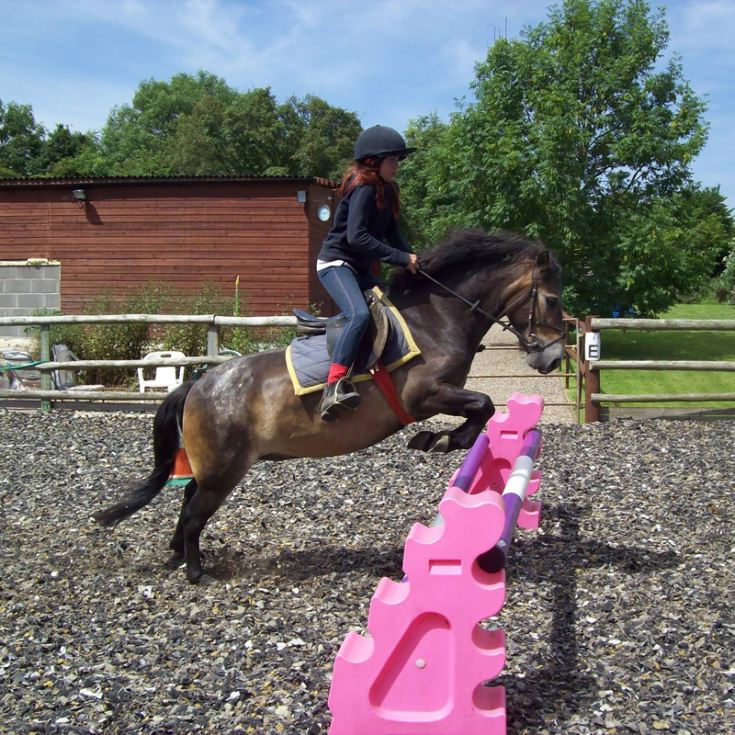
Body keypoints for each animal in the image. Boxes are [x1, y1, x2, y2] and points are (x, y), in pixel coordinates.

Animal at [94, 229, 564, 584]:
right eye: (554, 300)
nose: (554, 359)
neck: (435, 320)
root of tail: (197, 385)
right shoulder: (425, 395)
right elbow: (482, 405)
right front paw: (441, 440)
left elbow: (482, 410)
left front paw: (440, 439)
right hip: (223, 469)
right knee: (193, 511)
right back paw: (195, 571)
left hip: (213, 467)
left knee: (188, 497)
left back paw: (177, 555)